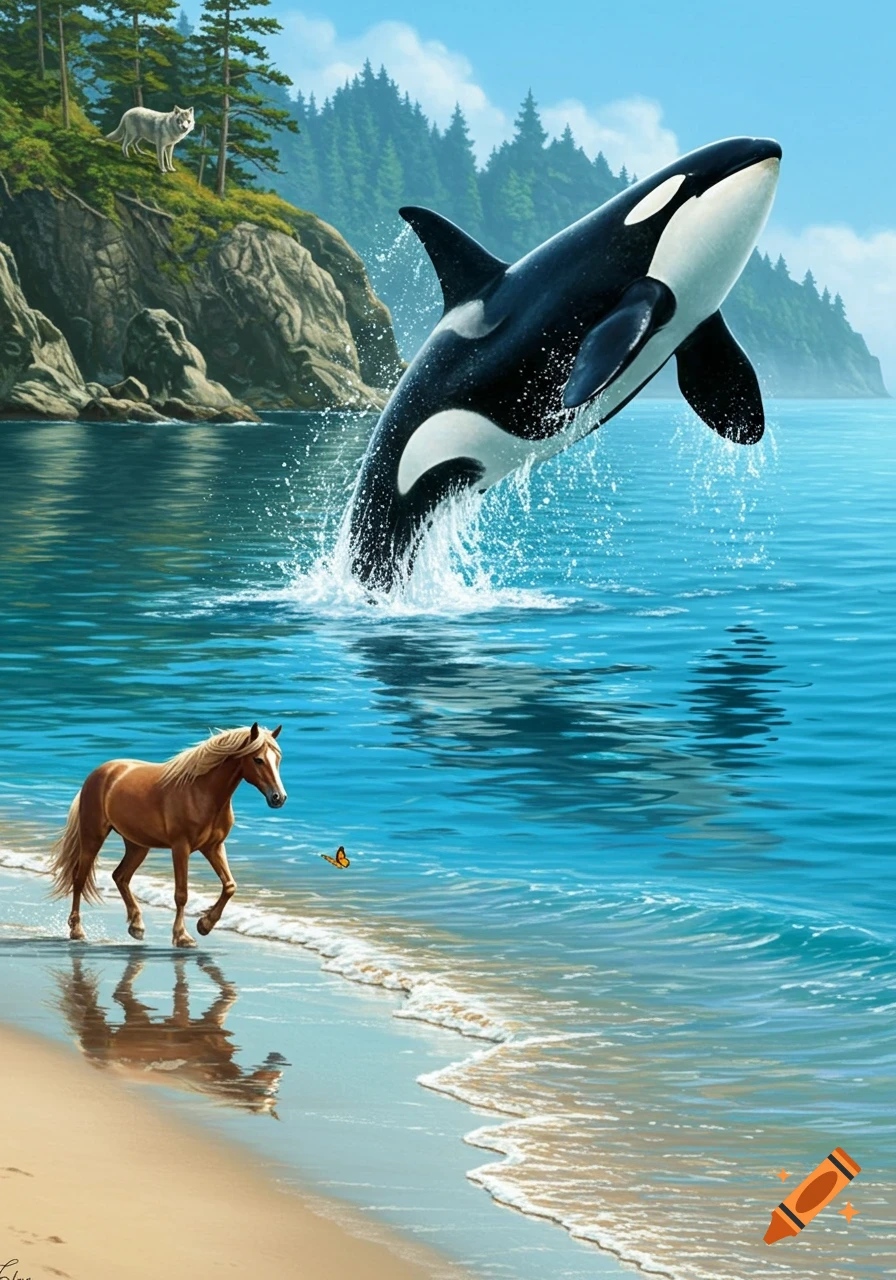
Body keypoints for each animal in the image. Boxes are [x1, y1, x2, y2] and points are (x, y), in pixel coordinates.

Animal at [50, 723, 286, 947]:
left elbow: (229, 886)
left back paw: (137, 926)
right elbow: (181, 894)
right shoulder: (181, 847)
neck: (202, 792)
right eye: (258, 759)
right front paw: (182, 936)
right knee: (80, 878)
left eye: (278, 759)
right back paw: (77, 931)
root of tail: (99, 773)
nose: (278, 798)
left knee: (120, 876)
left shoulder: (214, 846)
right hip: (93, 837)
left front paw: (205, 925)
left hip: (137, 845)